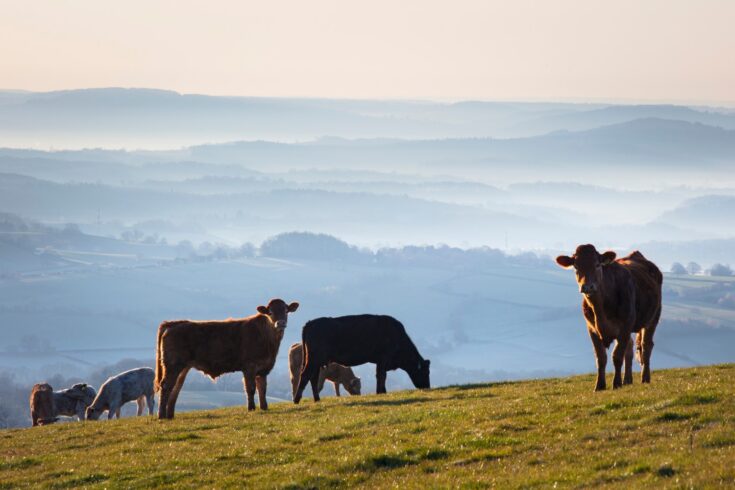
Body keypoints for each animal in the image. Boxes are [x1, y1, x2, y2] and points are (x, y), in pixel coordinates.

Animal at [155, 296, 300, 420]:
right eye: (270, 312)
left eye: (286, 310)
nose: (280, 323)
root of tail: (173, 323)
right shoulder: (249, 367)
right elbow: (251, 388)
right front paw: (251, 408)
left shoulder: (264, 368)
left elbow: (262, 389)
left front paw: (264, 407)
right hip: (173, 364)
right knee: (166, 386)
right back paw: (161, 415)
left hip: (183, 367)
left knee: (175, 388)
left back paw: (170, 415)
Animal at [294, 316, 432, 404]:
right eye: (426, 372)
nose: (427, 387)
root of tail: (310, 323)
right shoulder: (383, 359)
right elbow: (381, 376)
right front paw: (381, 393)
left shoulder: (380, 362)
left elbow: (380, 376)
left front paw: (382, 392)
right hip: (313, 359)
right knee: (305, 375)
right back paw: (296, 400)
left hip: (316, 362)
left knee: (313, 378)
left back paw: (317, 399)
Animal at [556, 245, 664, 390]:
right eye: (576, 266)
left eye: (597, 264)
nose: (587, 287)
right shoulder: (592, 329)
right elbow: (601, 358)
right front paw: (600, 385)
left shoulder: (625, 327)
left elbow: (617, 356)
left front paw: (616, 383)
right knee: (630, 348)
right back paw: (627, 379)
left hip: (653, 317)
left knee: (646, 346)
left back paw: (645, 378)